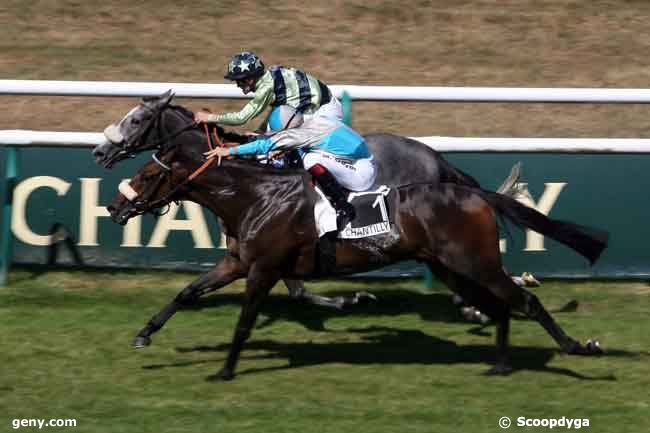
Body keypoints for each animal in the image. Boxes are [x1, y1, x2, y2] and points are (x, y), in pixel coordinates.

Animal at [106, 134, 608, 378]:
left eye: (147, 173)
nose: (113, 206)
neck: (255, 197)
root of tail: (474, 194)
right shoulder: (238, 263)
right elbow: (188, 292)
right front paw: (144, 335)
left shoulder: (263, 268)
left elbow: (245, 322)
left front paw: (225, 370)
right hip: (451, 267)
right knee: (500, 306)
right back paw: (500, 364)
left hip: (474, 262)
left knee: (522, 301)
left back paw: (578, 347)